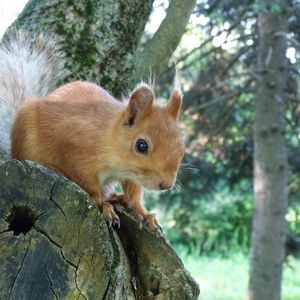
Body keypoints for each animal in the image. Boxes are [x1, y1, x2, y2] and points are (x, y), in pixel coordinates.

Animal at [0, 32, 185, 230]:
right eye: (141, 145)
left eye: (182, 147)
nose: (166, 185)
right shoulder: (75, 154)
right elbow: (88, 185)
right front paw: (104, 205)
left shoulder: (131, 175)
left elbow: (134, 193)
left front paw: (142, 212)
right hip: (26, 143)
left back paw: (116, 197)